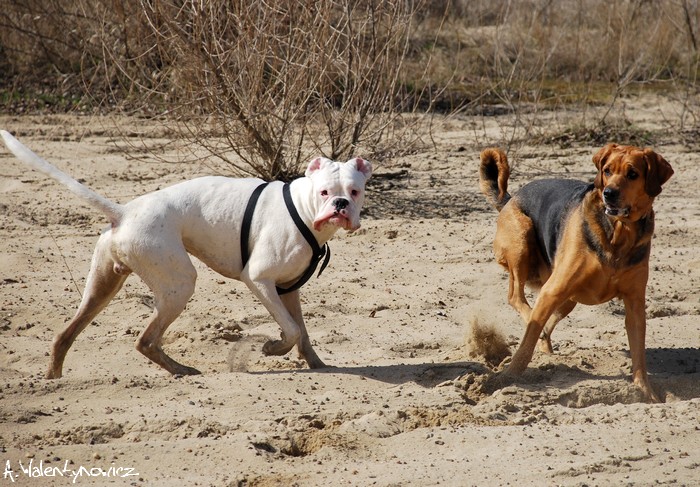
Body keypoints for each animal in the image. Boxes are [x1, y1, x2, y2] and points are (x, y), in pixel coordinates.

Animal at [0, 132, 372, 380]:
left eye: (355, 191)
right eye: (324, 192)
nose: (340, 204)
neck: (303, 209)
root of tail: (124, 211)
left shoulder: (288, 291)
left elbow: (302, 332)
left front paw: (317, 364)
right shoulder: (259, 280)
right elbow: (292, 330)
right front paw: (271, 348)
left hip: (101, 289)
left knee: (64, 336)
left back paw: (54, 381)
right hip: (179, 285)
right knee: (145, 341)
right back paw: (182, 370)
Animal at [482, 143, 672, 402]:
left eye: (633, 174)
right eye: (607, 170)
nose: (609, 193)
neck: (618, 233)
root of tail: (511, 198)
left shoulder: (634, 305)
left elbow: (639, 356)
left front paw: (646, 392)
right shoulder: (552, 291)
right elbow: (525, 346)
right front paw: (506, 379)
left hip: (567, 298)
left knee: (544, 320)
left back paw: (547, 347)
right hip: (522, 242)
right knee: (516, 297)